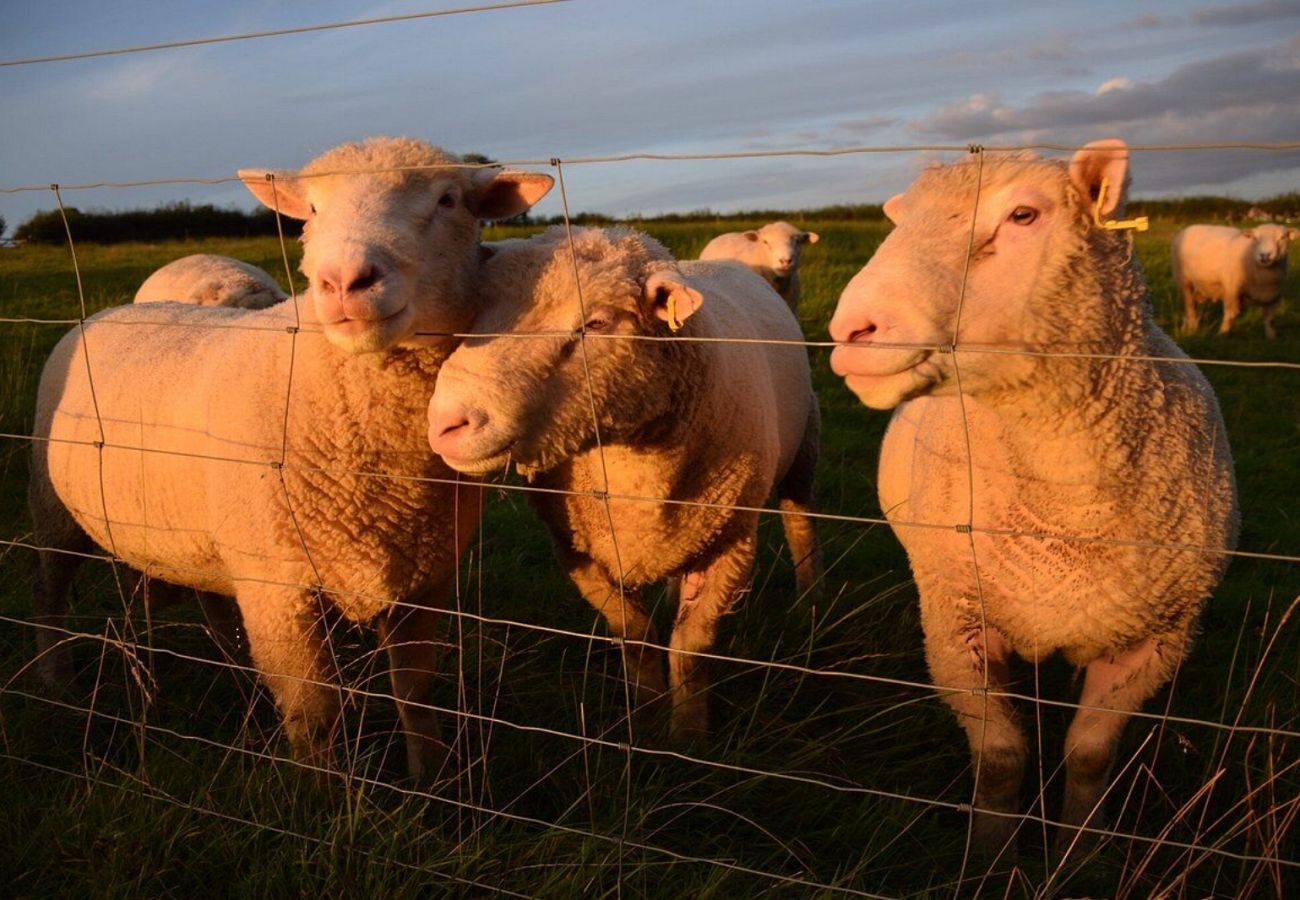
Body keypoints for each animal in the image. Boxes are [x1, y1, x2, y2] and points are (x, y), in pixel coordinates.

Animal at [428, 226, 821, 743]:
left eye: (595, 322)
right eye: (476, 310)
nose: (445, 424)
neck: (629, 472)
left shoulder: (731, 546)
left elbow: (689, 649)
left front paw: (687, 737)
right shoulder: (577, 550)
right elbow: (636, 636)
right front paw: (647, 718)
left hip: (803, 450)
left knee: (801, 525)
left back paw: (811, 603)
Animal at [826, 139, 1242, 853]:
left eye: (1024, 215)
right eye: (900, 222)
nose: (851, 329)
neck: (1070, 503)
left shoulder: (1157, 640)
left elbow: (1091, 755)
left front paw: (1082, 847)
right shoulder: (956, 627)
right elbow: (1000, 757)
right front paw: (993, 853)